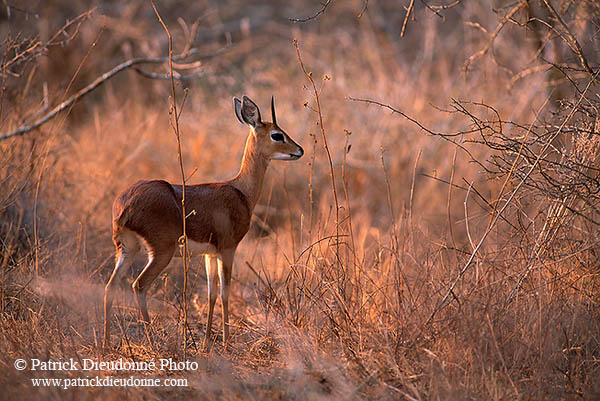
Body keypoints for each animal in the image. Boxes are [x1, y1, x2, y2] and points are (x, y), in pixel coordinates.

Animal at [102, 95, 304, 348]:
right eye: (277, 135)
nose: (300, 150)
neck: (241, 191)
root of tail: (125, 206)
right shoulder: (228, 249)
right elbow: (226, 293)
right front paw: (226, 342)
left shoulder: (210, 253)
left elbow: (211, 294)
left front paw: (208, 341)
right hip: (161, 253)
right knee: (138, 285)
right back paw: (152, 340)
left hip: (127, 250)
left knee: (110, 287)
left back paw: (105, 344)